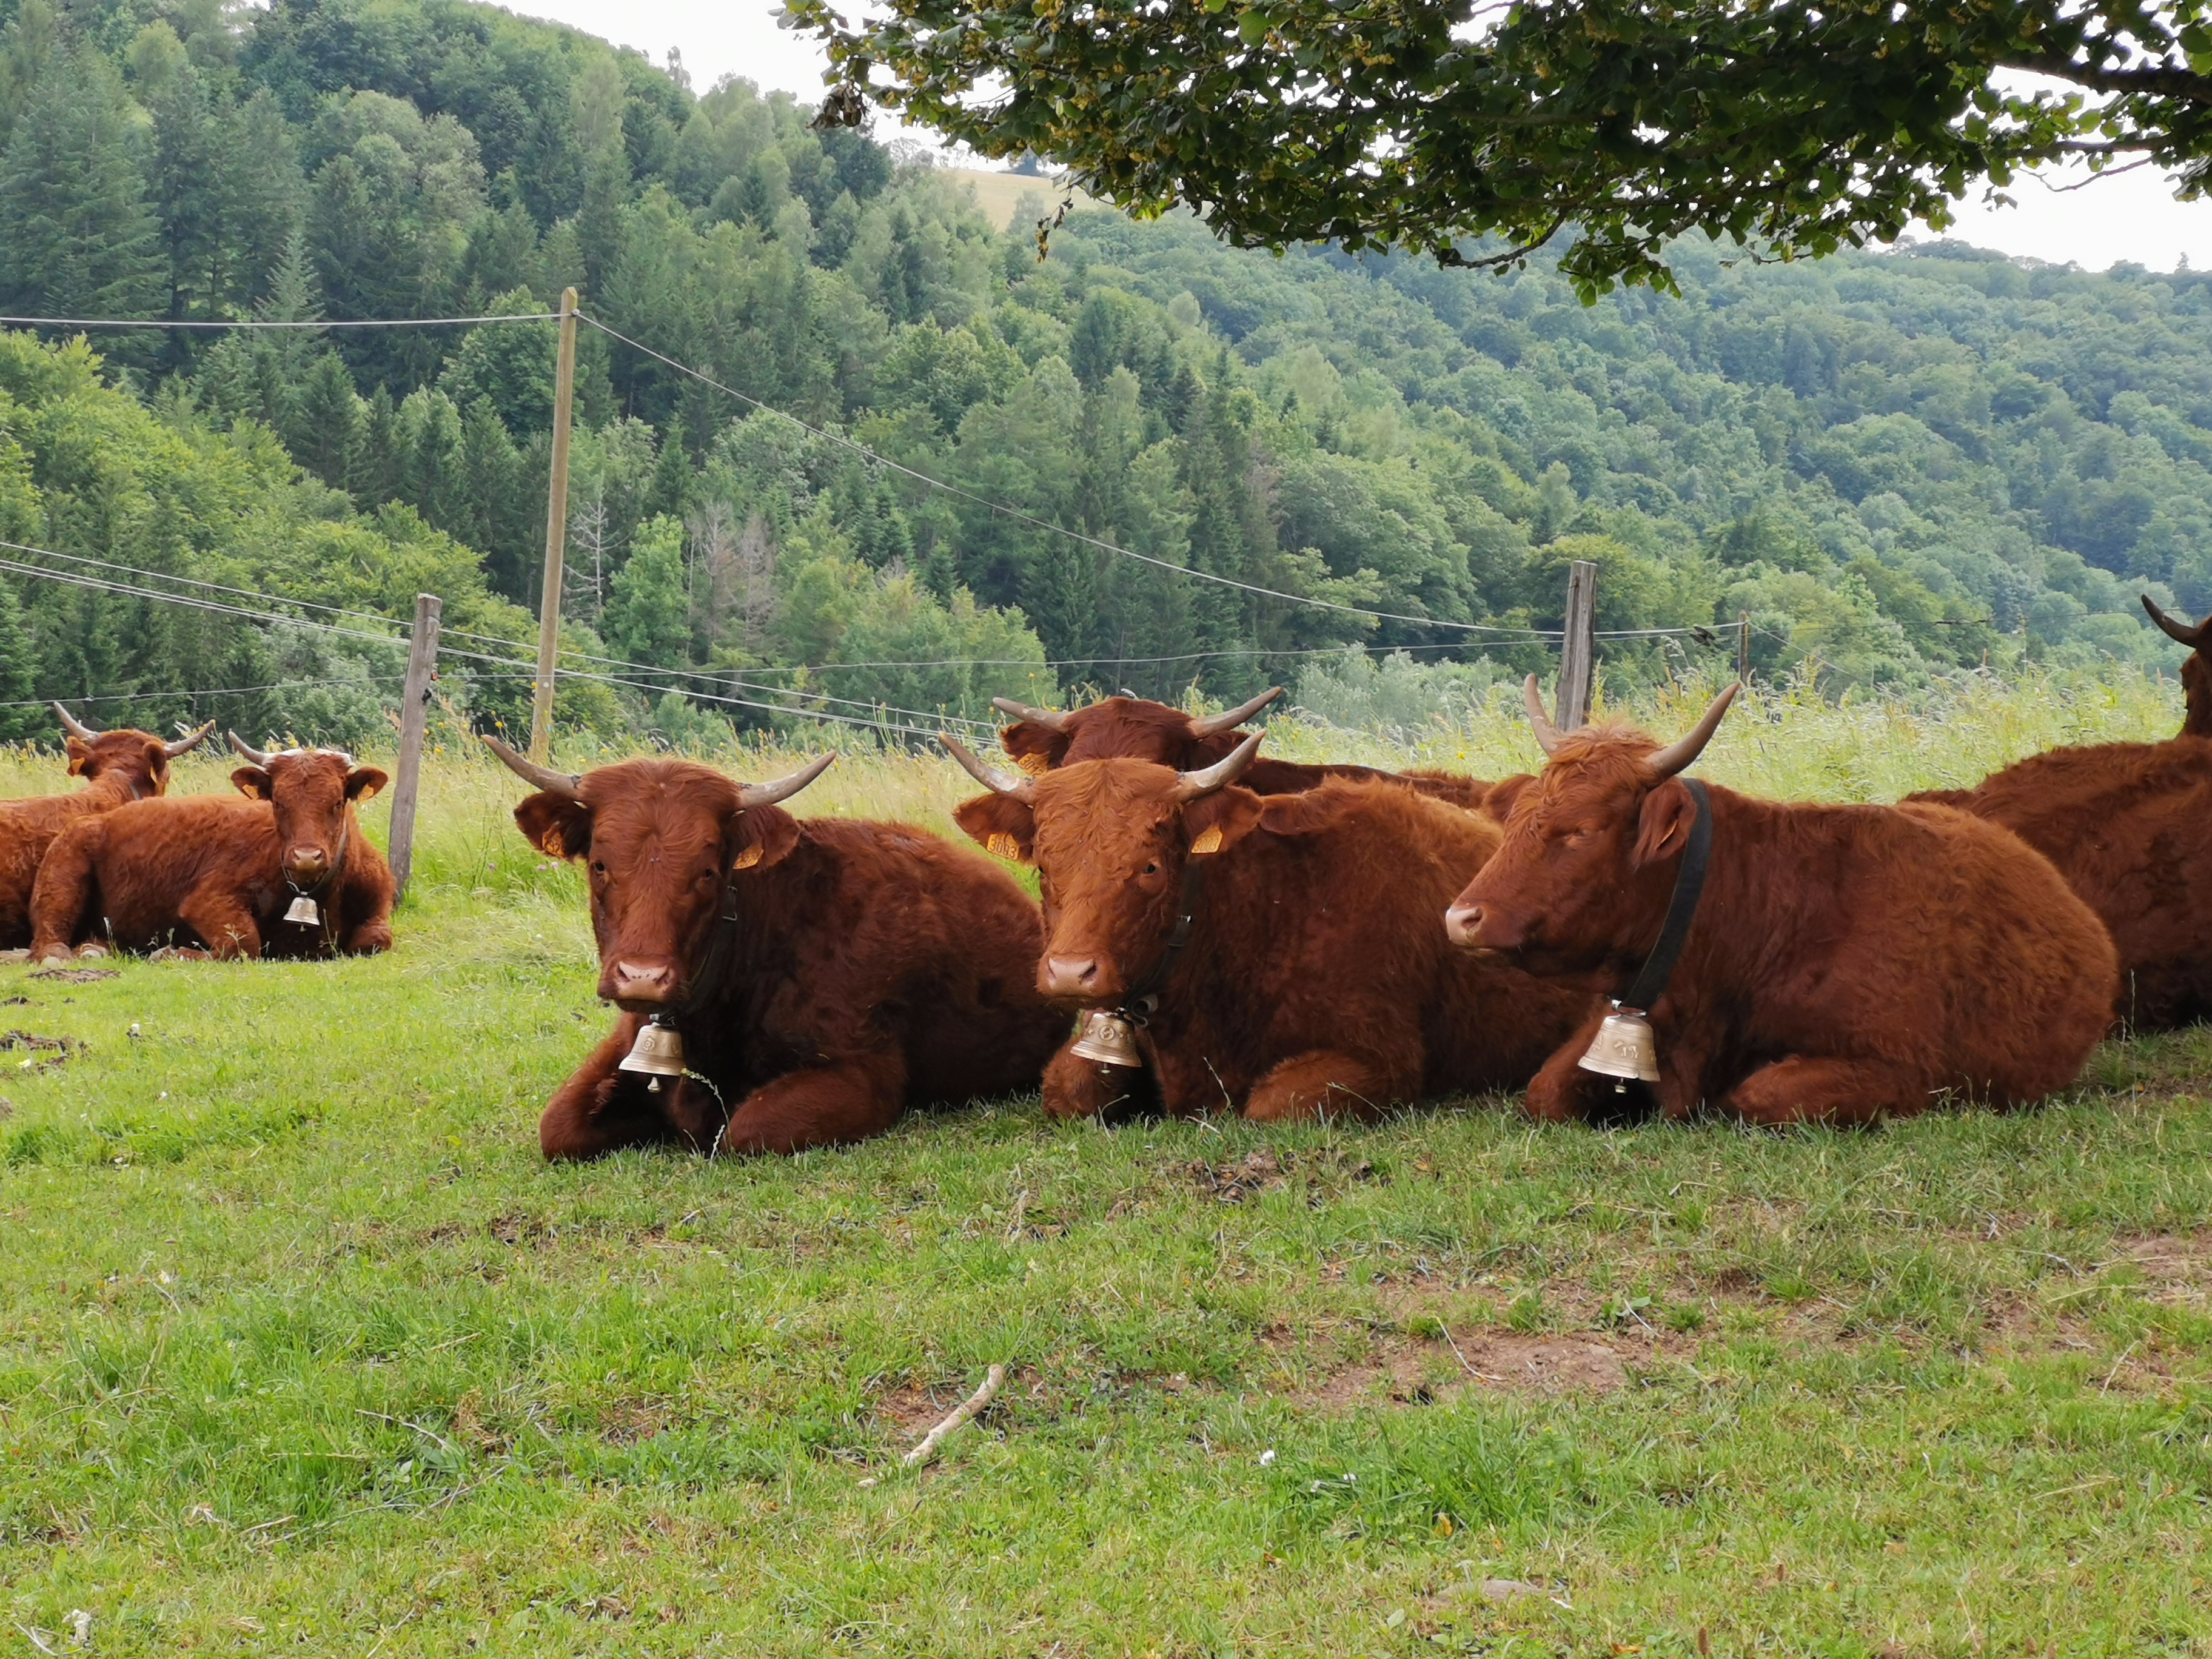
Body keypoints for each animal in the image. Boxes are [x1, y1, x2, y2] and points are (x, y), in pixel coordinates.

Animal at [28, 736, 394, 962]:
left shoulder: (378, 911)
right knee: (46, 940)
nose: (306, 857)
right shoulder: (207, 901)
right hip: (61, 882)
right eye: (278, 802)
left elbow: (377, 939)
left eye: (337, 802)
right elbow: (243, 943)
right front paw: (173, 953)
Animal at [484, 736, 1067, 1160]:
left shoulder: (863, 1074)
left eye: (708, 871)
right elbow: (558, 1127)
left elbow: (746, 1130)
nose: (643, 976)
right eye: (600, 865)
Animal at [943, 732, 1600, 1124]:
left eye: (1150, 866)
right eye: (1044, 866)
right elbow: (1069, 1091)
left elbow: (1269, 1102)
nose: (1070, 973)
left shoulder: (1381, 1060)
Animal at [1445, 678, 2117, 1125]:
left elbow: (1756, 1095)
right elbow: (1543, 1091)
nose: (1461, 918)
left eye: (1580, 831)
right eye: (1520, 818)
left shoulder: (1903, 1068)